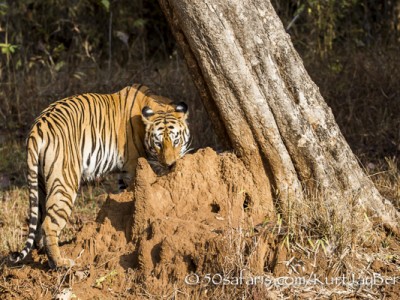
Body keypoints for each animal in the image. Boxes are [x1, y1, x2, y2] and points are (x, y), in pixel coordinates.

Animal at [9, 84, 191, 270]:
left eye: (176, 141)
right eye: (158, 143)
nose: (170, 165)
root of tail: (37, 127)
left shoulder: (123, 174)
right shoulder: (133, 167)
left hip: (40, 183)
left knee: (39, 218)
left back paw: (40, 253)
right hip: (65, 182)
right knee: (48, 224)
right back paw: (59, 263)